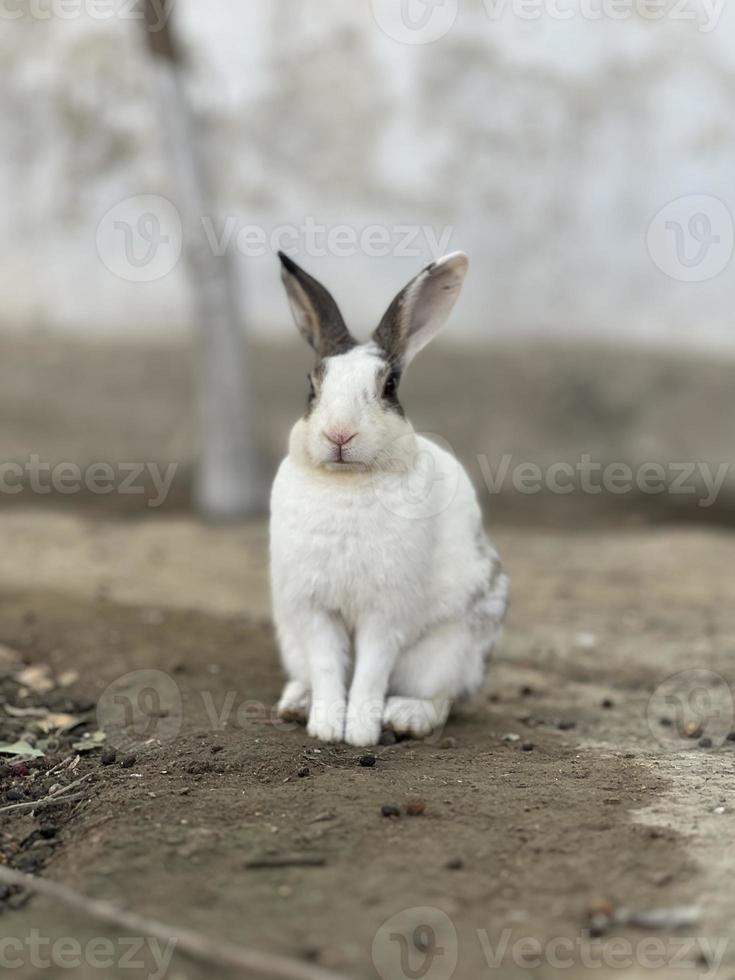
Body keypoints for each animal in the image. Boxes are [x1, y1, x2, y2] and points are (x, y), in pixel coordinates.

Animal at [274, 251, 508, 744]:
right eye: (311, 386)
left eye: (389, 387)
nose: (339, 434)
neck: (346, 480)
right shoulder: (313, 610)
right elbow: (328, 667)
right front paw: (326, 727)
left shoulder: (385, 614)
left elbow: (370, 672)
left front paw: (360, 732)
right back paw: (296, 703)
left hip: (450, 651)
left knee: (442, 699)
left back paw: (405, 717)